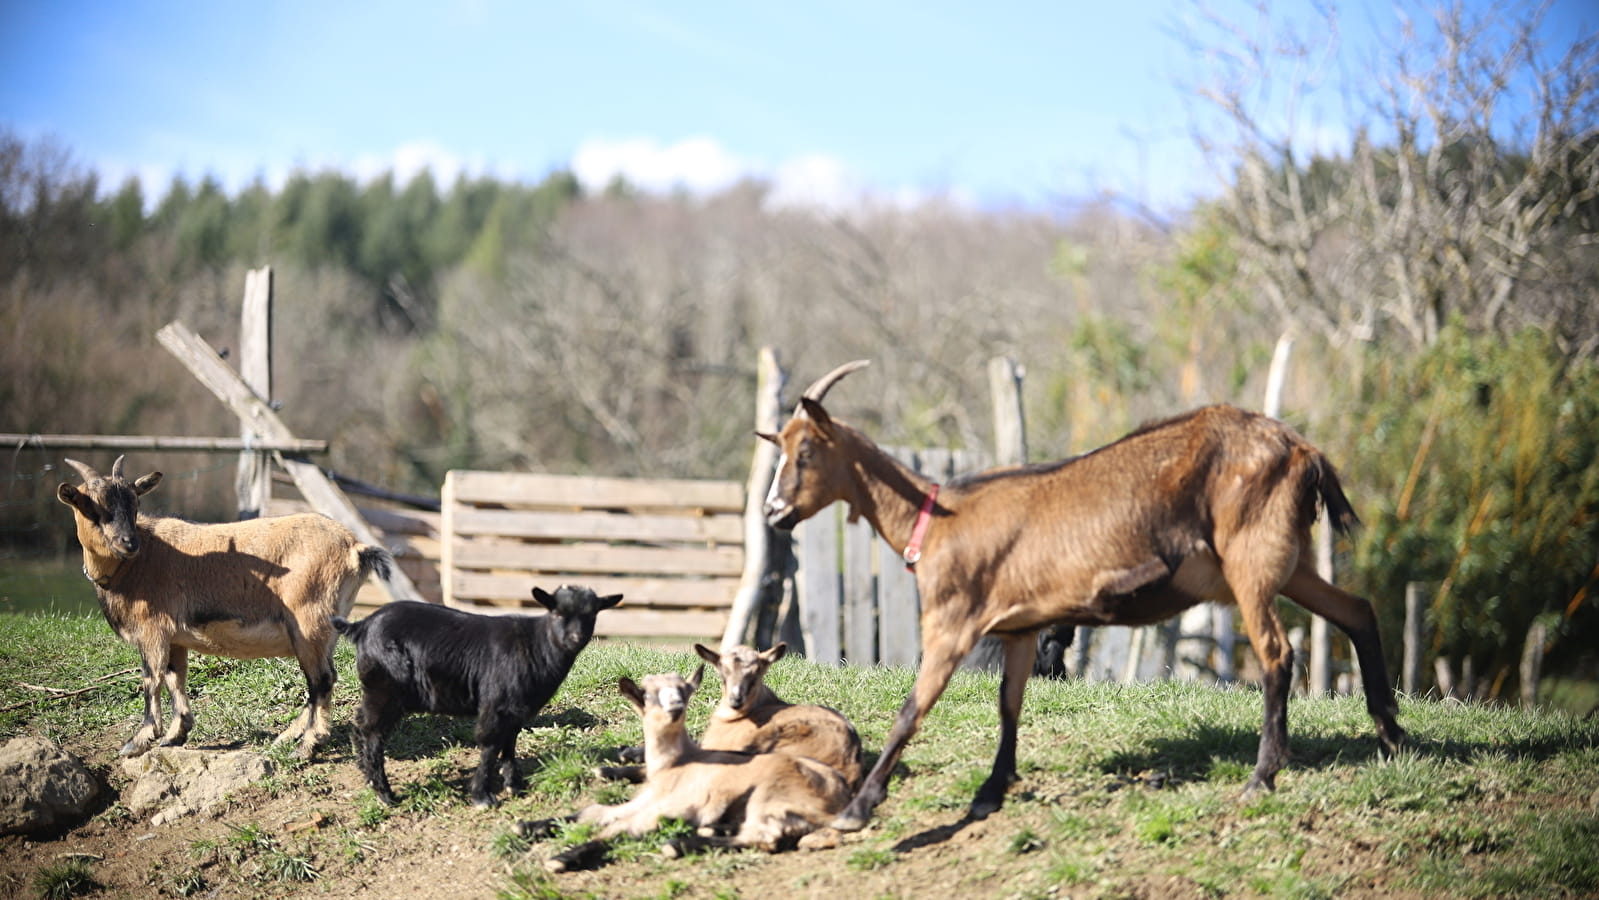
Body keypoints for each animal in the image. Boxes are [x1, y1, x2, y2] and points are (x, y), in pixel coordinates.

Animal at [59, 457, 393, 760]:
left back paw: (307, 747)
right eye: (91, 507)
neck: (137, 564)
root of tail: (355, 547)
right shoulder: (175, 637)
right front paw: (175, 734)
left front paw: (138, 741)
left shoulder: (152, 630)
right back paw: (287, 738)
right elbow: (175, 678)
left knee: (321, 680)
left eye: (134, 504)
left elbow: (151, 679)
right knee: (326, 678)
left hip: (308, 622)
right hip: (327, 628)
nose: (128, 543)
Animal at [330, 585, 617, 808]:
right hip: (385, 690)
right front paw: (482, 796)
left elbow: (509, 744)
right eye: (557, 612)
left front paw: (514, 785)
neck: (535, 646)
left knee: (360, 725)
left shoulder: (515, 710)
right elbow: (490, 745)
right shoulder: (495, 705)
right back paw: (385, 794)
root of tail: (361, 625)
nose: (575, 638)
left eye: (592, 613)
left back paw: (365, 772)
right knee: (372, 733)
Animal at [530, 668, 850, 876]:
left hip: (770, 796)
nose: (674, 707)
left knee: (764, 837)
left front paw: (562, 858)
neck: (675, 765)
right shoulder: (645, 801)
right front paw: (530, 827)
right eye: (648, 695)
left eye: (684, 691)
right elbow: (595, 811)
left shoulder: (671, 805)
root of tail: (842, 797)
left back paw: (678, 844)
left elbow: (618, 828)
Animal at [767, 359, 1407, 831]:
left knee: (1277, 654)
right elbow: (1009, 705)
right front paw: (991, 791)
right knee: (1357, 610)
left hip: (1251, 558)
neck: (938, 516)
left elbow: (910, 712)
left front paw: (858, 807)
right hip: (1288, 562)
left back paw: (1262, 776)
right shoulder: (1021, 629)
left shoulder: (952, 625)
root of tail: (1302, 449)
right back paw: (1393, 735)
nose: (773, 512)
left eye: (805, 453)